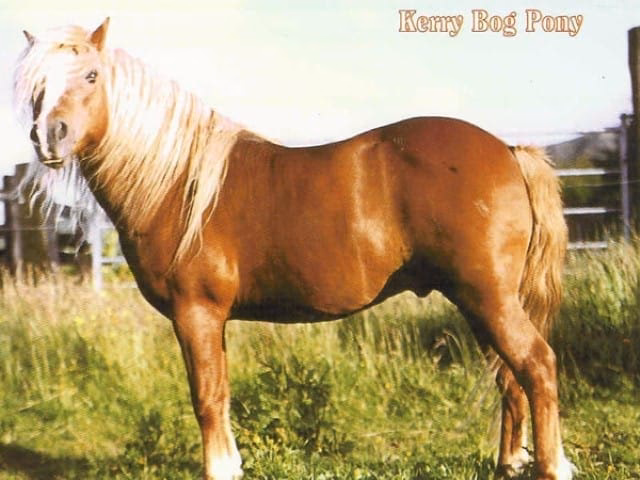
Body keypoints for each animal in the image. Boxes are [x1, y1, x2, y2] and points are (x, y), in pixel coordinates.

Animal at [13, 18, 574, 480]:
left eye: (90, 76)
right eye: (37, 87)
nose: (48, 137)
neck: (177, 182)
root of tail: (508, 151)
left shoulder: (196, 314)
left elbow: (206, 397)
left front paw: (219, 470)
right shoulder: (211, 320)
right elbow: (220, 393)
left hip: (488, 298)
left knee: (536, 366)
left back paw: (552, 467)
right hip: (481, 302)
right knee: (510, 378)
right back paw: (509, 464)